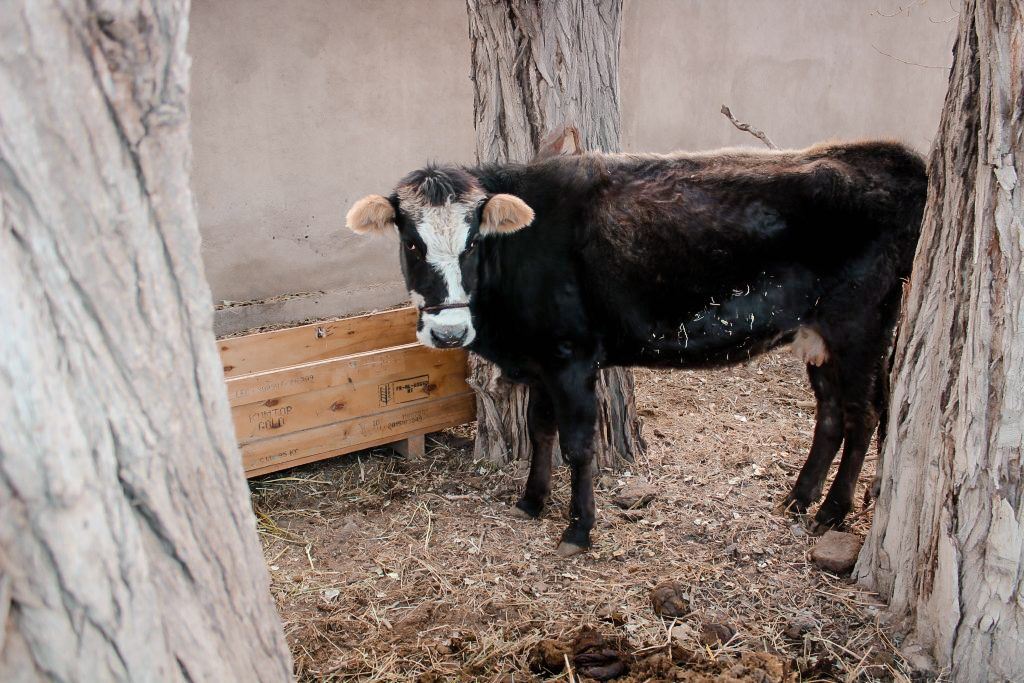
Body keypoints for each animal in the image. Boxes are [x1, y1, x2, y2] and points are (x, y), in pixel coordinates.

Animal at [344, 141, 929, 557]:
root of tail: (889, 154)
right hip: (818, 338)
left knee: (861, 415)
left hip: (858, 328)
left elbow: (579, 446)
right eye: (412, 242)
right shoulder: (542, 360)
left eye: (472, 243)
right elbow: (540, 430)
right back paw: (799, 498)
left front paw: (578, 529)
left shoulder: (573, 356)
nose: (447, 333)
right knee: (829, 414)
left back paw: (832, 510)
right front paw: (532, 501)